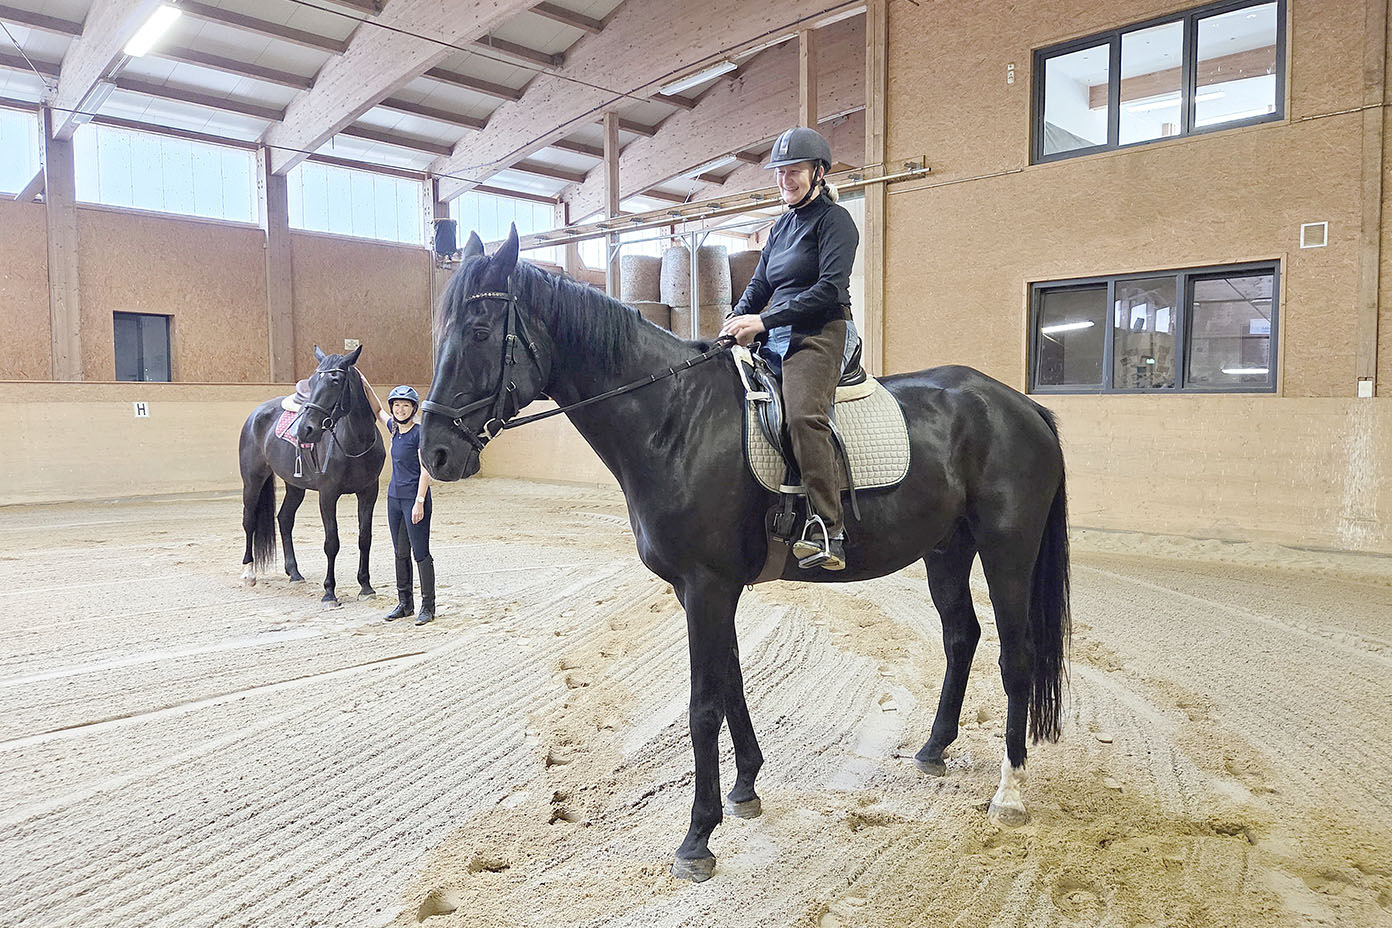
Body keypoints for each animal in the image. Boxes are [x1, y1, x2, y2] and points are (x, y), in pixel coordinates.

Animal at [238, 345, 387, 606]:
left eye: (335, 381)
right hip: (252, 480)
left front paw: (366, 587)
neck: (354, 443)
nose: (304, 430)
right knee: (249, 520)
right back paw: (249, 573)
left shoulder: (369, 492)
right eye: (314, 380)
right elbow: (332, 542)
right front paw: (329, 592)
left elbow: (364, 538)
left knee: (284, 519)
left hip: (295, 486)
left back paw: (294, 573)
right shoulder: (327, 494)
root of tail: (255, 414)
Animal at [421, 227, 1071, 882]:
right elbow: (731, 679)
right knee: (961, 636)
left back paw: (1010, 792)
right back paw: (934, 748)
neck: (674, 420)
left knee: (1016, 656)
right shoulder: (703, 590)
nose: (435, 453)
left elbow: (703, 704)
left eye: (480, 331)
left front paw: (697, 838)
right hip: (947, 550)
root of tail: (1019, 407)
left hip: (1007, 550)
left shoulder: (707, 585)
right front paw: (745, 789)